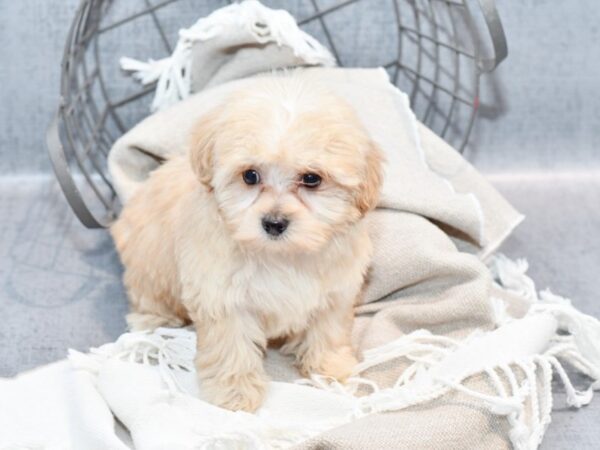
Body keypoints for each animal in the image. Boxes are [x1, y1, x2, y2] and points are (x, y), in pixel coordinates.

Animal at [112, 76, 384, 412]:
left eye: (312, 179)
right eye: (250, 176)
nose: (274, 223)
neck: (281, 256)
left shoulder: (336, 292)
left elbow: (328, 330)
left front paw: (330, 369)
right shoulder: (224, 299)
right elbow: (233, 347)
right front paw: (236, 393)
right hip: (148, 262)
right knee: (148, 294)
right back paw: (152, 320)